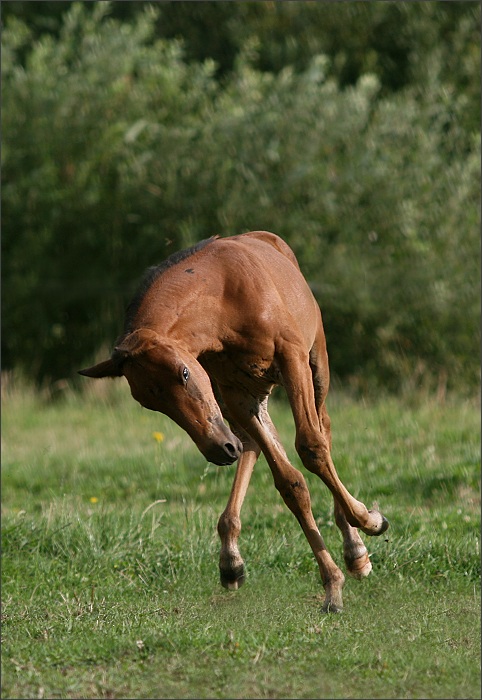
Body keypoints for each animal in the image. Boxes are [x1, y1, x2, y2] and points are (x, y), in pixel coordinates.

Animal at [79, 231, 388, 612]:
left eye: (184, 373)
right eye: (148, 402)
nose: (217, 451)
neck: (224, 300)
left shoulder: (292, 357)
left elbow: (312, 447)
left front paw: (371, 522)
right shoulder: (234, 392)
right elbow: (290, 483)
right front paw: (332, 582)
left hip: (316, 365)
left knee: (321, 429)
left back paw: (355, 550)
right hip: (247, 396)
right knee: (253, 443)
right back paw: (232, 561)